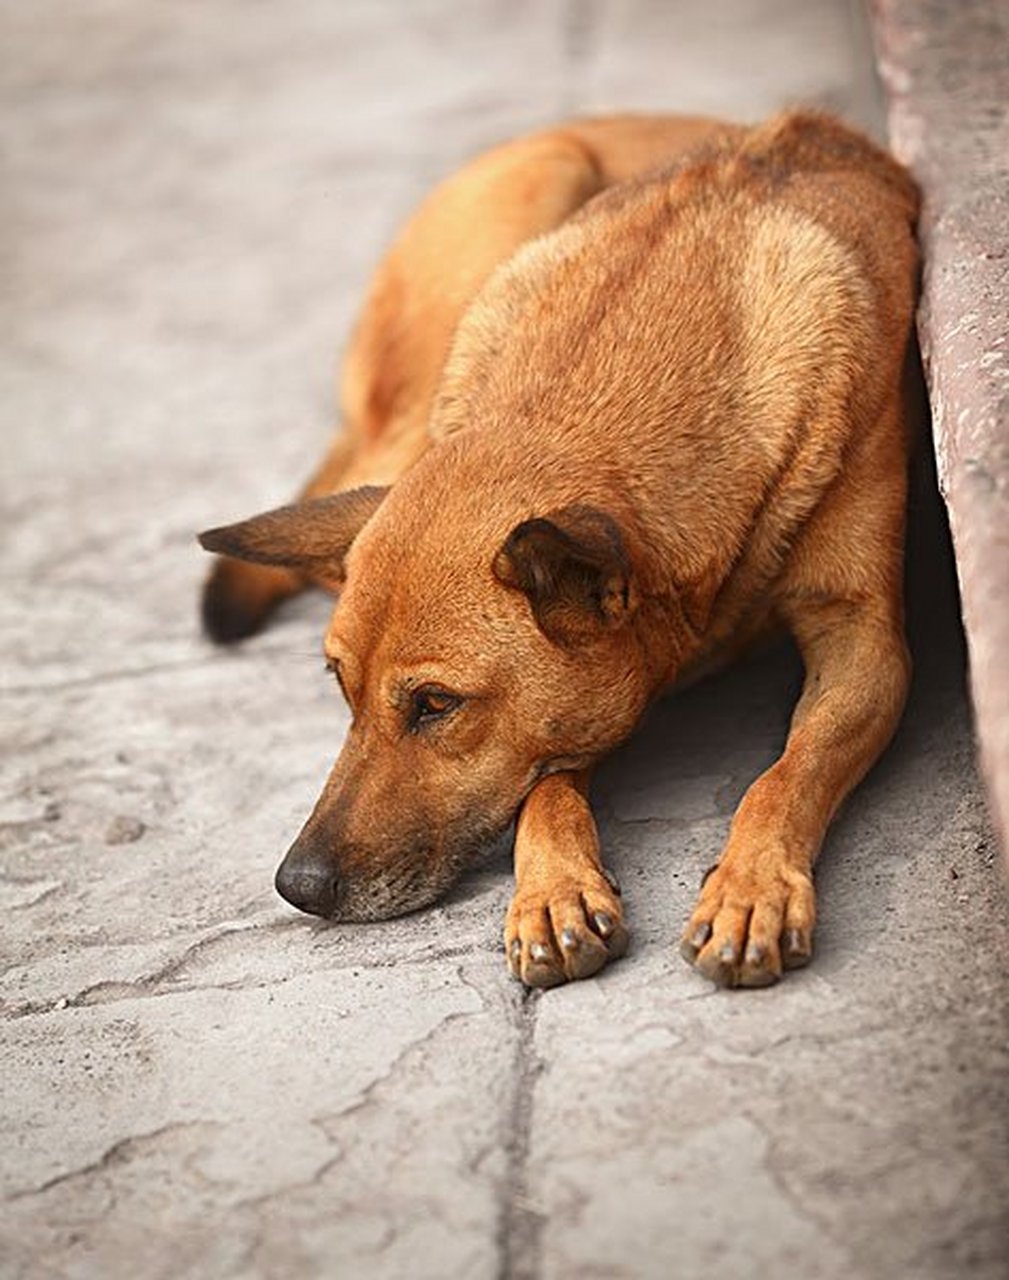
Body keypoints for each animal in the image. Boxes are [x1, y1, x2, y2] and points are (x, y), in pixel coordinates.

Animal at [194, 112, 916, 988]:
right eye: (340, 686)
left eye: (435, 704)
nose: (297, 886)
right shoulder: (573, 712)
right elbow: (544, 788)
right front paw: (552, 891)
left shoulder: (862, 645)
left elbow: (789, 772)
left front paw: (751, 888)